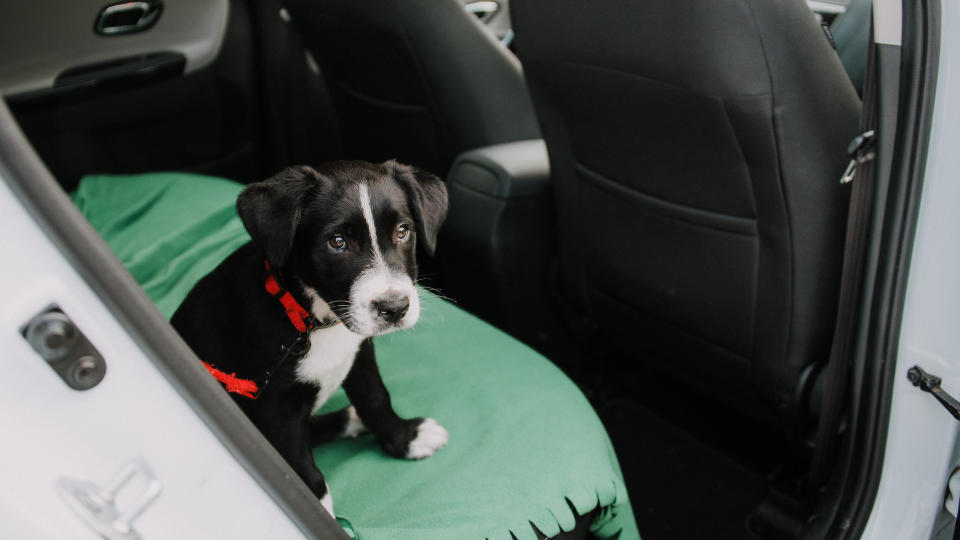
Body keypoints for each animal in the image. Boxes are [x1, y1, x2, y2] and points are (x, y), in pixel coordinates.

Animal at [172, 159, 450, 516]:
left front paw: (405, 437)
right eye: (337, 242)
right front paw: (322, 514)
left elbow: (376, 398)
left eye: (402, 231)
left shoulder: (359, 354)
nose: (394, 308)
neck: (317, 322)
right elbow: (301, 469)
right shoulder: (277, 408)